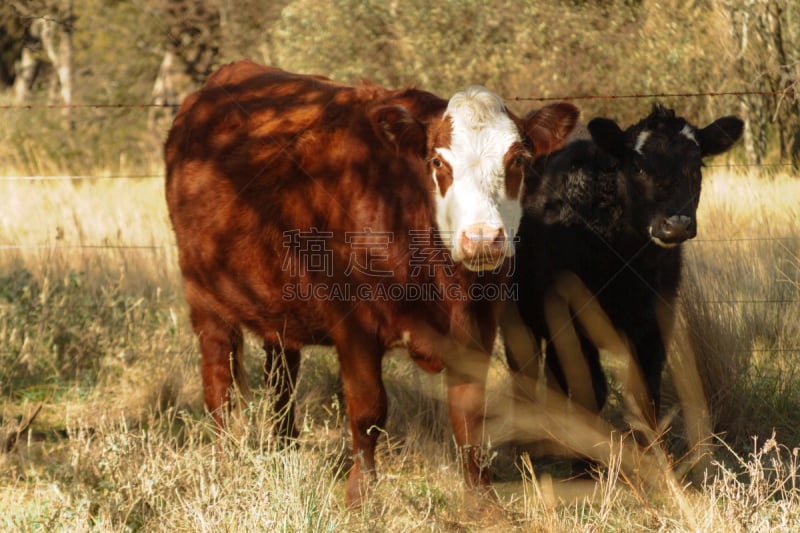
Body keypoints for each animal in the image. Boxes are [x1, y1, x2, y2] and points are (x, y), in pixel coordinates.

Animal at [164, 60, 576, 504]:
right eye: (437, 162)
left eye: (518, 159)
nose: (482, 238)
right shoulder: (355, 325)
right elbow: (368, 411)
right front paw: (361, 496)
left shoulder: (480, 325)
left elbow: (469, 415)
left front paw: (482, 501)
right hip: (203, 296)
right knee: (218, 381)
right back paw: (225, 459)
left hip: (277, 304)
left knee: (282, 377)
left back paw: (285, 449)